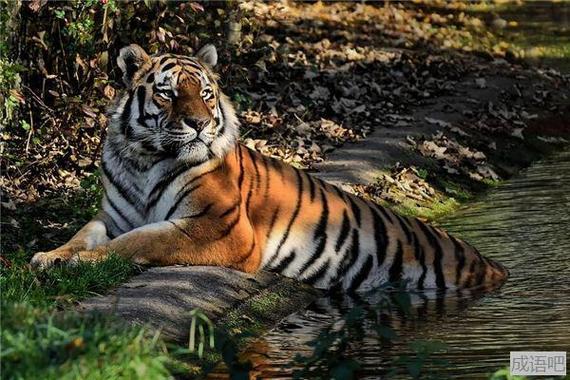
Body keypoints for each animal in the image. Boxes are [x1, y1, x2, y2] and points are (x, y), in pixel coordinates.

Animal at [30, 44, 506, 292]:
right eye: (167, 94)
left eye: (205, 93)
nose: (199, 123)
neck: (144, 158)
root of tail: (494, 266)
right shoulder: (111, 217)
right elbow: (85, 235)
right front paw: (50, 256)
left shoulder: (219, 228)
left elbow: (140, 240)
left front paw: (82, 263)